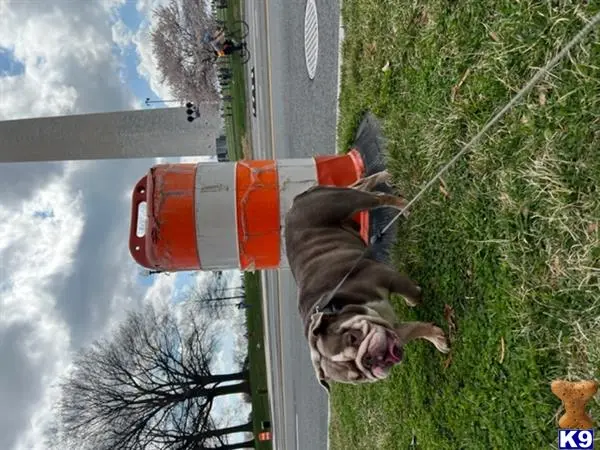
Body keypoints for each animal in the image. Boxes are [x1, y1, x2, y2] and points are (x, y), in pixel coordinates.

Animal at [284, 171, 448, 390]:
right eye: (357, 377)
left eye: (353, 338)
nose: (368, 359)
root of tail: (294, 202)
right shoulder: (392, 329)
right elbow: (414, 328)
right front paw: (437, 338)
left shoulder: (386, 277)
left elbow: (411, 293)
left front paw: (416, 300)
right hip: (346, 206)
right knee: (362, 185)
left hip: (347, 202)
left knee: (378, 197)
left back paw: (402, 203)